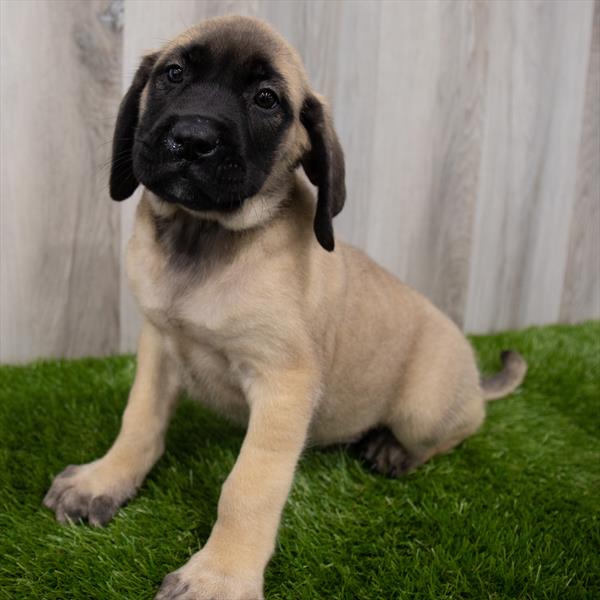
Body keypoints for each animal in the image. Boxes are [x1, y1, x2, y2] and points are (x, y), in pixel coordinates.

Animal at [44, 15, 528, 600]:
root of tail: (474, 377)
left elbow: (247, 487)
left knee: (464, 425)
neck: (202, 239)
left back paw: (394, 447)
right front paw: (103, 481)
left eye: (266, 99)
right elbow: (137, 422)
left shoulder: (284, 384)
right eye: (173, 74)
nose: (193, 140)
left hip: (424, 410)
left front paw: (220, 576)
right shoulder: (159, 346)